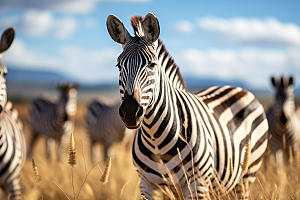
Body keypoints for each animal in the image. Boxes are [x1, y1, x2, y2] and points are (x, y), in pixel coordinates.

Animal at [106, 13, 268, 199]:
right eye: (119, 66)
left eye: (152, 65)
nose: (130, 112)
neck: (156, 140)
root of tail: (238, 88)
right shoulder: (147, 185)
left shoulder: (198, 184)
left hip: (247, 175)